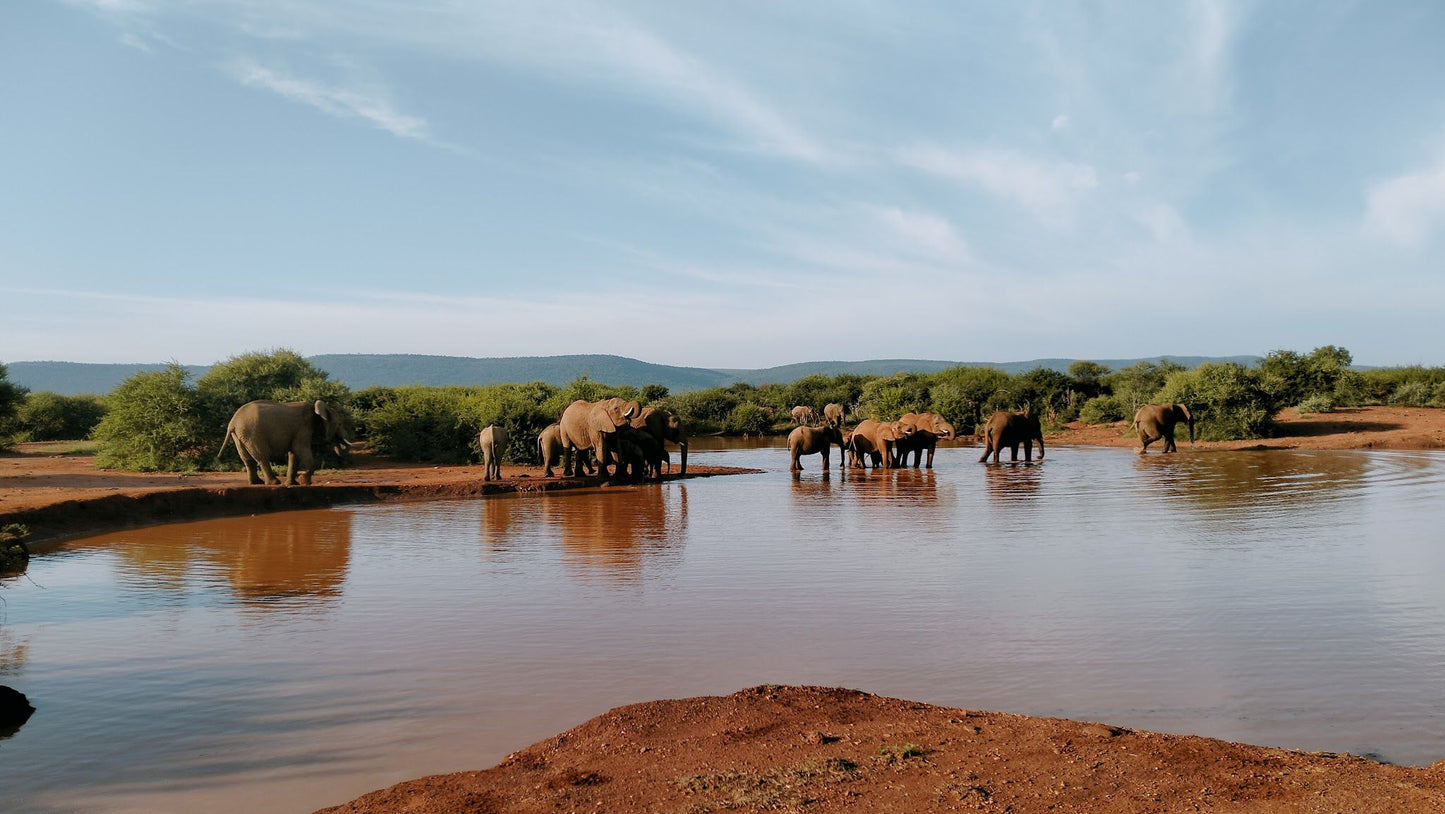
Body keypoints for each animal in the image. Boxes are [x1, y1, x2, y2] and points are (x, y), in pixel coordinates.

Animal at [219, 399, 355, 488]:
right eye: (339, 424)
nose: (337, 441)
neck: (316, 408)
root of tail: (232, 423)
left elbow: (293, 454)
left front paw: (294, 483)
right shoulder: (303, 428)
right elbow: (300, 450)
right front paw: (304, 481)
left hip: (240, 435)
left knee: (248, 460)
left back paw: (256, 483)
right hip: (252, 433)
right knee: (262, 458)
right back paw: (274, 483)